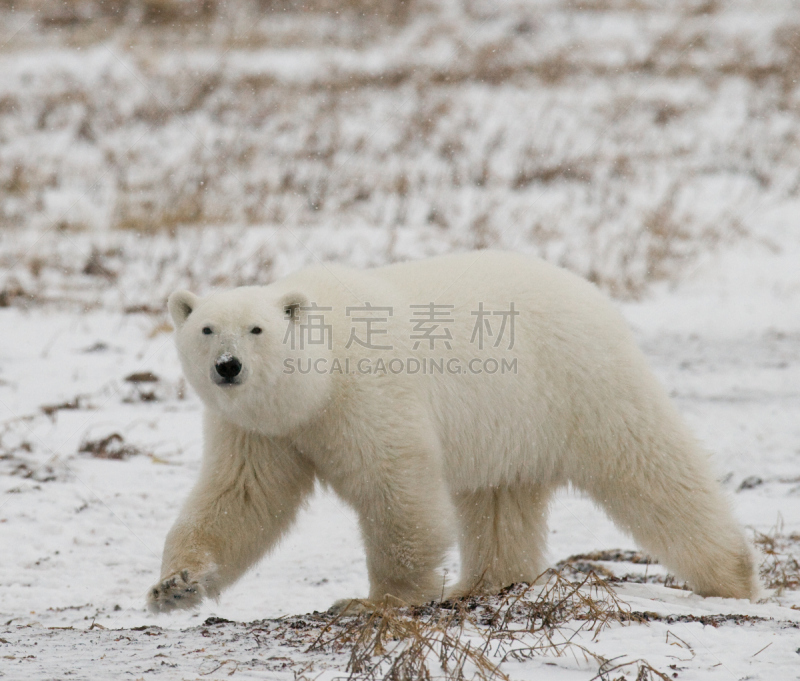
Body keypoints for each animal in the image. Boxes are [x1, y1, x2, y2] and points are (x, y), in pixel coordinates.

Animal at [148, 250, 756, 612]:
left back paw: (734, 576)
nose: (228, 367)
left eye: (257, 328)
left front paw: (377, 601)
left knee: (650, 466)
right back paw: (482, 585)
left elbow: (395, 491)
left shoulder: (368, 392)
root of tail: (589, 292)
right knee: (498, 502)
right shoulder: (259, 430)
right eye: (207, 328)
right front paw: (174, 587)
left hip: (580, 382)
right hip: (511, 426)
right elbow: (240, 498)